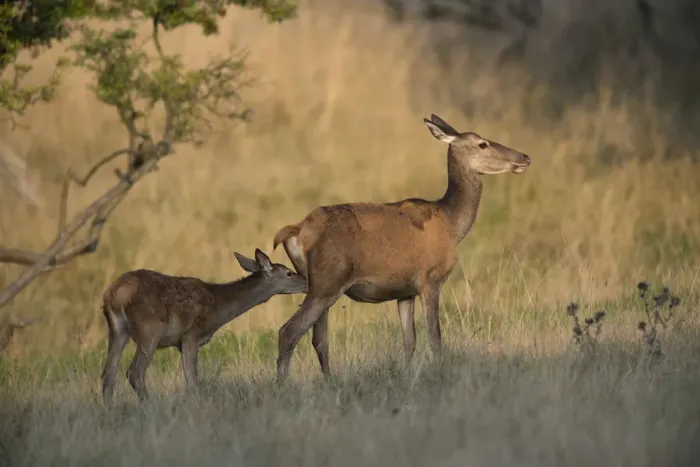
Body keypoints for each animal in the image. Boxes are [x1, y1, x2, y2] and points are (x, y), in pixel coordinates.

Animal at [100, 248, 307, 403]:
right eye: (289, 272)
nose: (307, 281)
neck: (218, 307)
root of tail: (114, 294)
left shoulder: (182, 343)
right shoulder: (191, 336)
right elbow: (193, 382)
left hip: (117, 331)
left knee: (107, 374)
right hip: (149, 328)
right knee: (134, 372)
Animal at [271, 114, 532, 382]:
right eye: (482, 144)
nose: (524, 157)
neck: (451, 224)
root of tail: (298, 230)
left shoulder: (405, 291)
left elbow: (409, 341)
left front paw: (407, 375)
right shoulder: (431, 279)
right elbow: (435, 338)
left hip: (317, 285)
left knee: (318, 339)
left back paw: (328, 381)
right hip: (328, 282)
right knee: (289, 332)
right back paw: (283, 384)